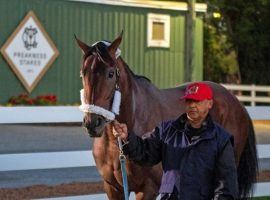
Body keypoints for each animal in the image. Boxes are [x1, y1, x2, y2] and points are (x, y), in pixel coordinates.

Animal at [75, 32, 258, 199]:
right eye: (83, 73)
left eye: (111, 73)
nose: (92, 123)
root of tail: (236, 102)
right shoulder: (113, 188)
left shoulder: (148, 189)